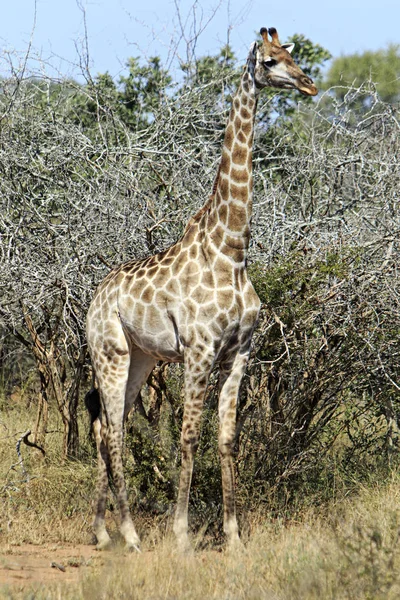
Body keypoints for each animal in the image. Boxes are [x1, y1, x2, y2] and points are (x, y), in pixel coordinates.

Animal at [86, 28, 318, 552]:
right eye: (270, 61)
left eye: (293, 55)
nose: (308, 84)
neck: (231, 250)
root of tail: (93, 300)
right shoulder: (199, 349)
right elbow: (189, 436)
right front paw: (182, 536)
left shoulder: (240, 352)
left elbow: (227, 437)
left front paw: (234, 537)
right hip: (110, 352)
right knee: (112, 429)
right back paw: (129, 534)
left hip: (141, 358)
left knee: (107, 423)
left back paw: (104, 532)